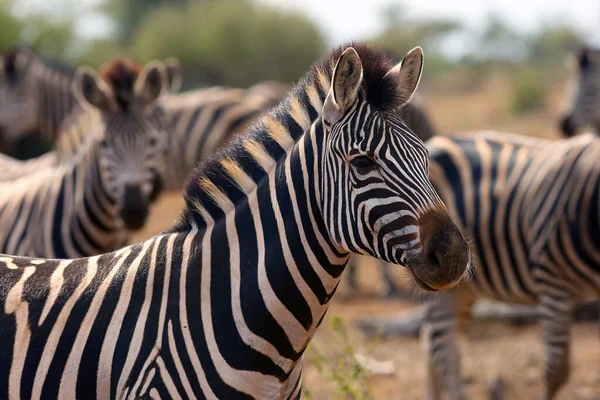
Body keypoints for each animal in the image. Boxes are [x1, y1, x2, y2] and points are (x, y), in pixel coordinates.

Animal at [422, 131, 600, 400]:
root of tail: (436, 140)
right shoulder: (553, 280)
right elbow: (557, 369)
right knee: (445, 352)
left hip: (461, 288)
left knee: (432, 343)